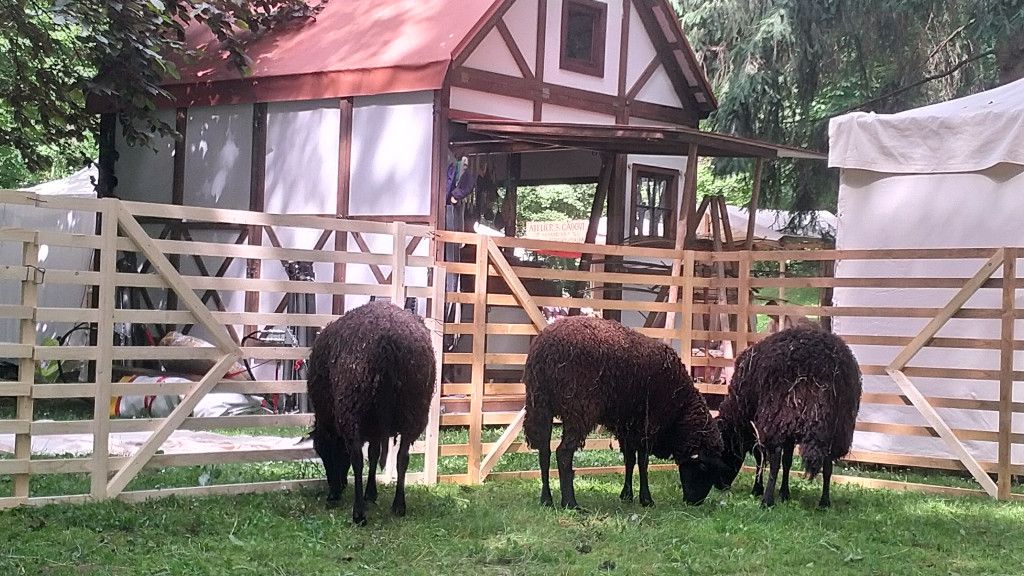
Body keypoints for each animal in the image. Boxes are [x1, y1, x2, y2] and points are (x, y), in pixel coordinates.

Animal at [307, 301, 436, 525]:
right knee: (403, 458)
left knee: (358, 459)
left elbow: (364, 457)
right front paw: (372, 493)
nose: (334, 494)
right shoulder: (376, 426)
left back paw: (359, 513)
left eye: (324, 452)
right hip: (413, 409)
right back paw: (399, 506)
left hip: (353, 408)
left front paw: (365, 496)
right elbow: (375, 454)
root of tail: (389, 342)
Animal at [523, 316, 729, 510]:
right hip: (579, 410)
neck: (680, 410)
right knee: (563, 453)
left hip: (540, 405)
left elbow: (629, 460)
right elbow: (643, 462)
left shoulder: (627, 426)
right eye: (703, 466)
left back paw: (546, 500)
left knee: (544, 452)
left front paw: (627, 495)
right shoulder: (648, 424)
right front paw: (647, 499)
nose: (695, 502)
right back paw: (570, 503)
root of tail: (544, 351)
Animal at [715, 325, 862, 508]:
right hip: (836, 426)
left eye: (721, 451)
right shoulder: (789, 428)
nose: (720, 486)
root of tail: (824, 366)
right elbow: (788, 461)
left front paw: (758, 489)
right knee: (828, 464)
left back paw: (767, 501)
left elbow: (761, 458)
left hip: (778, 415)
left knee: (775, 459)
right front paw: (784, 493)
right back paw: (824, 502)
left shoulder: (760, 425)